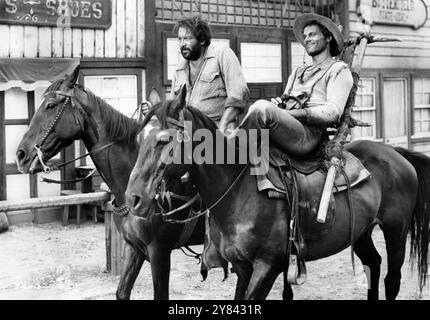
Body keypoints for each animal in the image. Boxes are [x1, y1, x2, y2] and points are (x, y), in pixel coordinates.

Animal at [126, 85, 430, 300]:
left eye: (163, 139)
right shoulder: (242, 267)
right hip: (362, 231)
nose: (133, 199)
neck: (238, 191)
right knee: (373, 264)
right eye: (138, 138)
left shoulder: (267, 266)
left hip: (396, 231)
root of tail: (395, 153)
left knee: (392, 278)